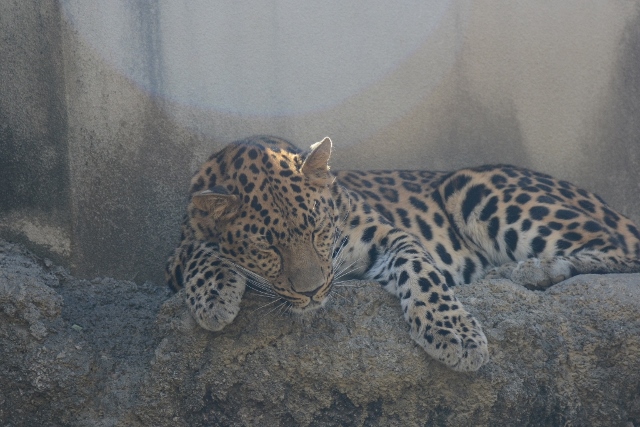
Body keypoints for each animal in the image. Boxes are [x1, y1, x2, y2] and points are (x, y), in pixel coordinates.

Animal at [166, 136, 640, 372]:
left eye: (318, 228)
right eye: (266, 245)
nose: (313, 291)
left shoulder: (388, 234)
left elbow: (424, 273)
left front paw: (456, 335)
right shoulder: (173, 258)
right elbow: (197, 247)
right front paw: (213, 296)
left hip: (471, 185)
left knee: (624, 251)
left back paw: (527, 271)